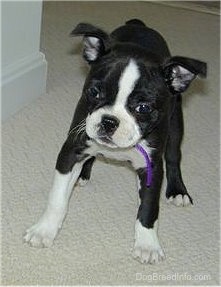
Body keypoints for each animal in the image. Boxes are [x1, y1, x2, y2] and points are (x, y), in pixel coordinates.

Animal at [24, 19, 207, 266]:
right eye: (94, 92)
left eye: (143, 108)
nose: (109, 121)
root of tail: (138, 23)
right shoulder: (72, 150)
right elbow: (57, 198)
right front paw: (44, 230)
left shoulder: (151, 166)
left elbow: (149, 207)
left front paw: (147, 244)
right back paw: (83, 174)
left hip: (176, 122)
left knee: (173, 156)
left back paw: (178, 190)